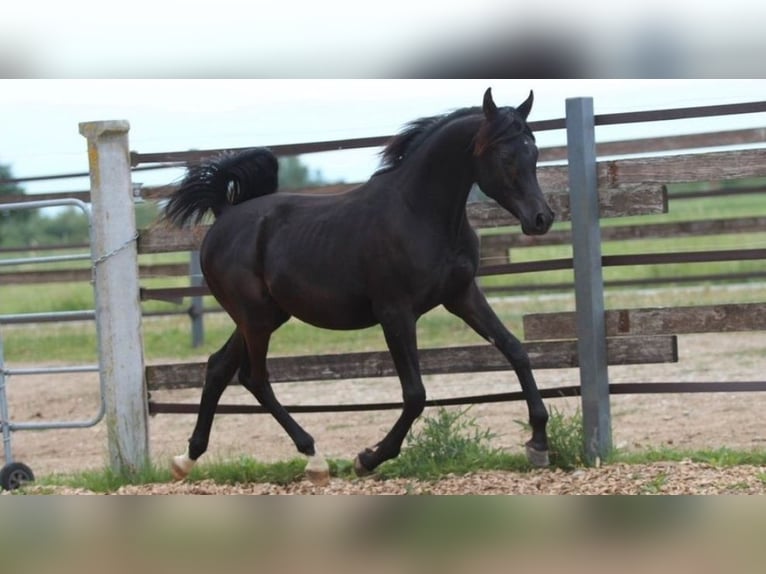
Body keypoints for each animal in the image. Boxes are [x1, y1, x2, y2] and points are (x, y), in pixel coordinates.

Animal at [165, 88, 555, 484]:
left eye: (534, 151)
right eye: (505, 155)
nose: (542, 218)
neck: (419, 214)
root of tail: (224, 216)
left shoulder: (461, 296)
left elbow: (515, 350)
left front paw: (538, 443)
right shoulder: (395, 312)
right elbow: (415, 394)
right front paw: (368, 458)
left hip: (265, 316)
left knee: (219, 367)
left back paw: (187, 458)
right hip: (255, 316)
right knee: (254, 377)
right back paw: (314, 458)